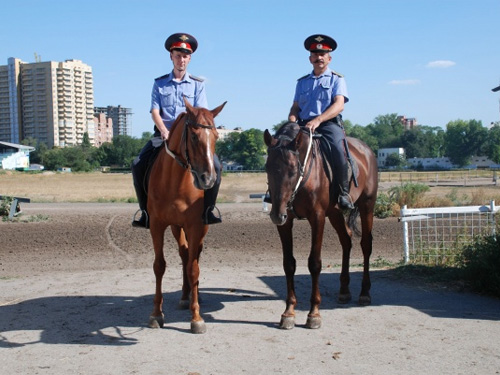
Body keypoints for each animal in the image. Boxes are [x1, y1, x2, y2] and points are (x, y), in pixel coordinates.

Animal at [147, 97, 226, 334]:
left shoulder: (195, 226)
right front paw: (156, 314)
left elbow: (194, 268)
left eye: (216, 136)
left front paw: (197, 317)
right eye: (193, 136)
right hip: (176, 227)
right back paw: (184, 295)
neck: (175, 181)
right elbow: (159, 266)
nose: (208, 179)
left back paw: (193, 294)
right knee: (184, 254)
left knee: (193, 256)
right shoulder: (157, 225)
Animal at [264, 122, 376, 330]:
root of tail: (366, 150)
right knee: (346, 241)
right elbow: (288, 264)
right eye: (267, 167)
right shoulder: (286, 223)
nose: (276, 214)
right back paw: (344, 290)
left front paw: (314, 314)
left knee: (366, 244)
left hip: (367, 205)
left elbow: (314, 264)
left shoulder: (317, 218)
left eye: (293, 168)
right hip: (335, 213)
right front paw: (289, 312)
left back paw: (364, 293)